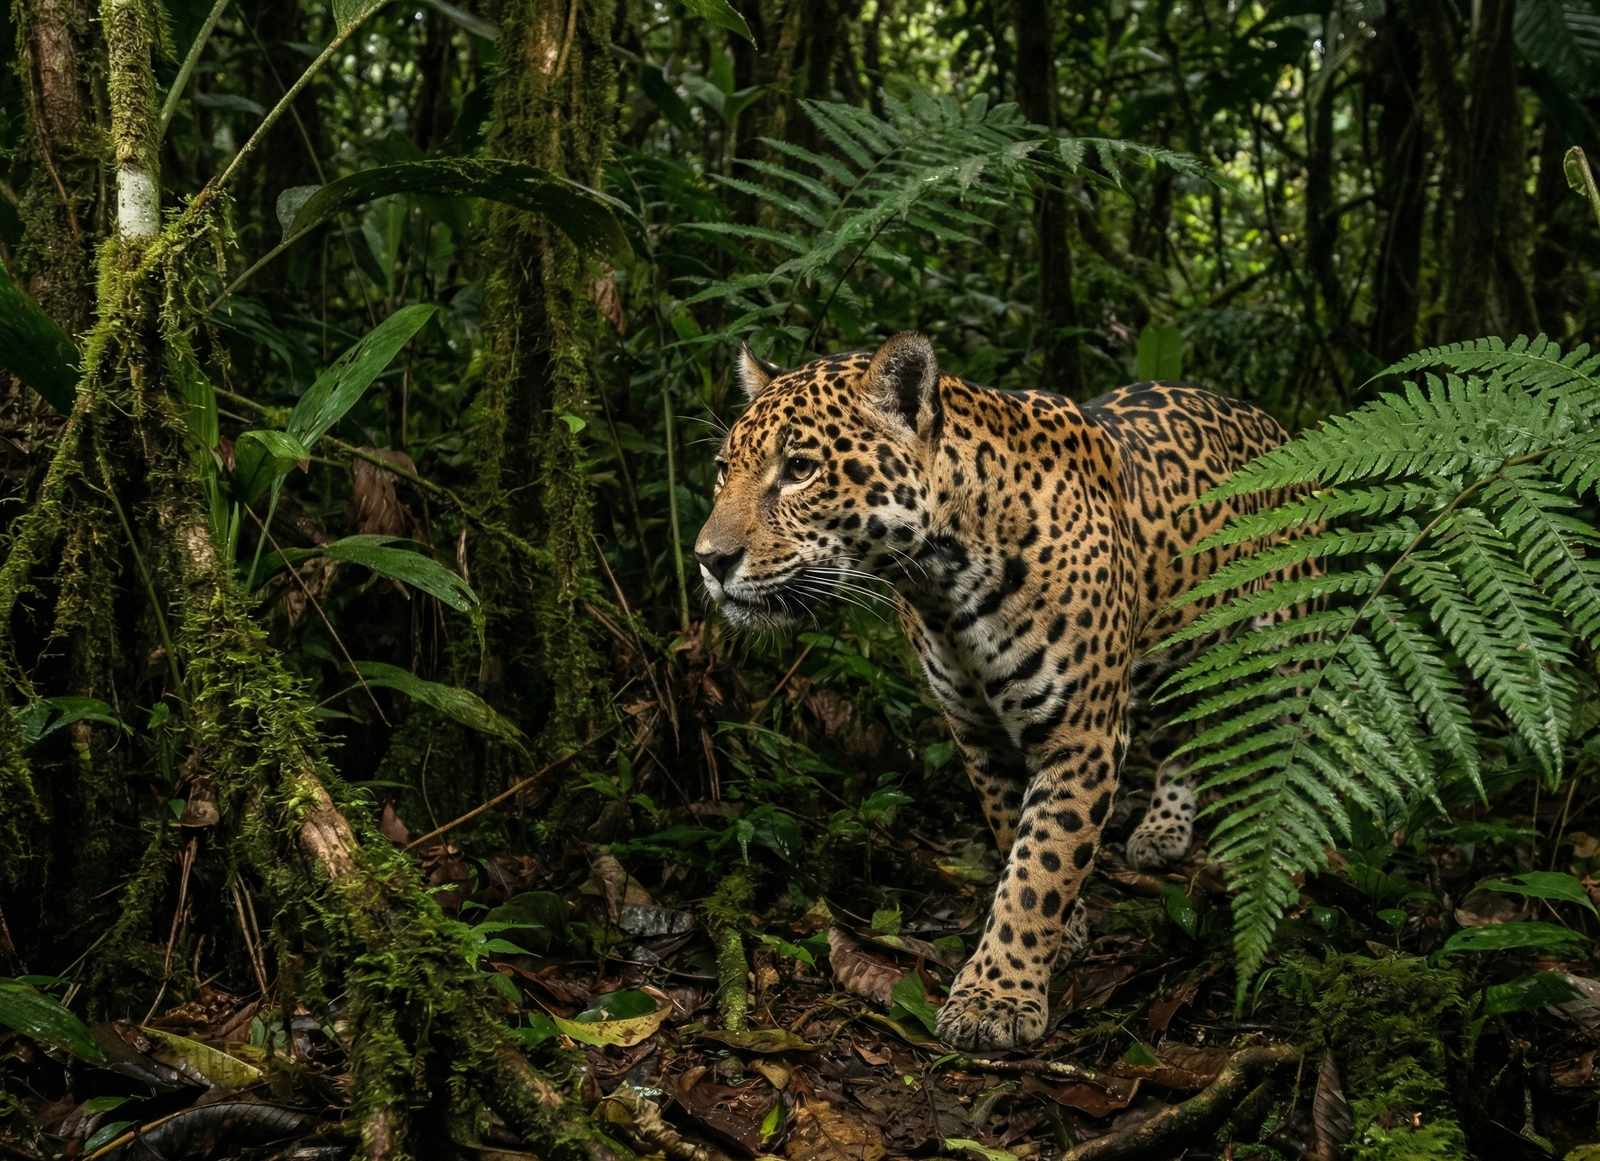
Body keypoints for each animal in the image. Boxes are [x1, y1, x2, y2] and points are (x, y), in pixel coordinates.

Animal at [694, 332, 1308, 1051]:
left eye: (798, 468)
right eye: (722, 468)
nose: (708, 560)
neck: (943, 582)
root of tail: (1265, 418)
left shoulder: (1082, 737)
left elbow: (1042, 864)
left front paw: (996, 996)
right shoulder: (977, 731)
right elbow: (1015, 828)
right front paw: (1062, 932)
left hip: (1288, 640)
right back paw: (1163, 827)